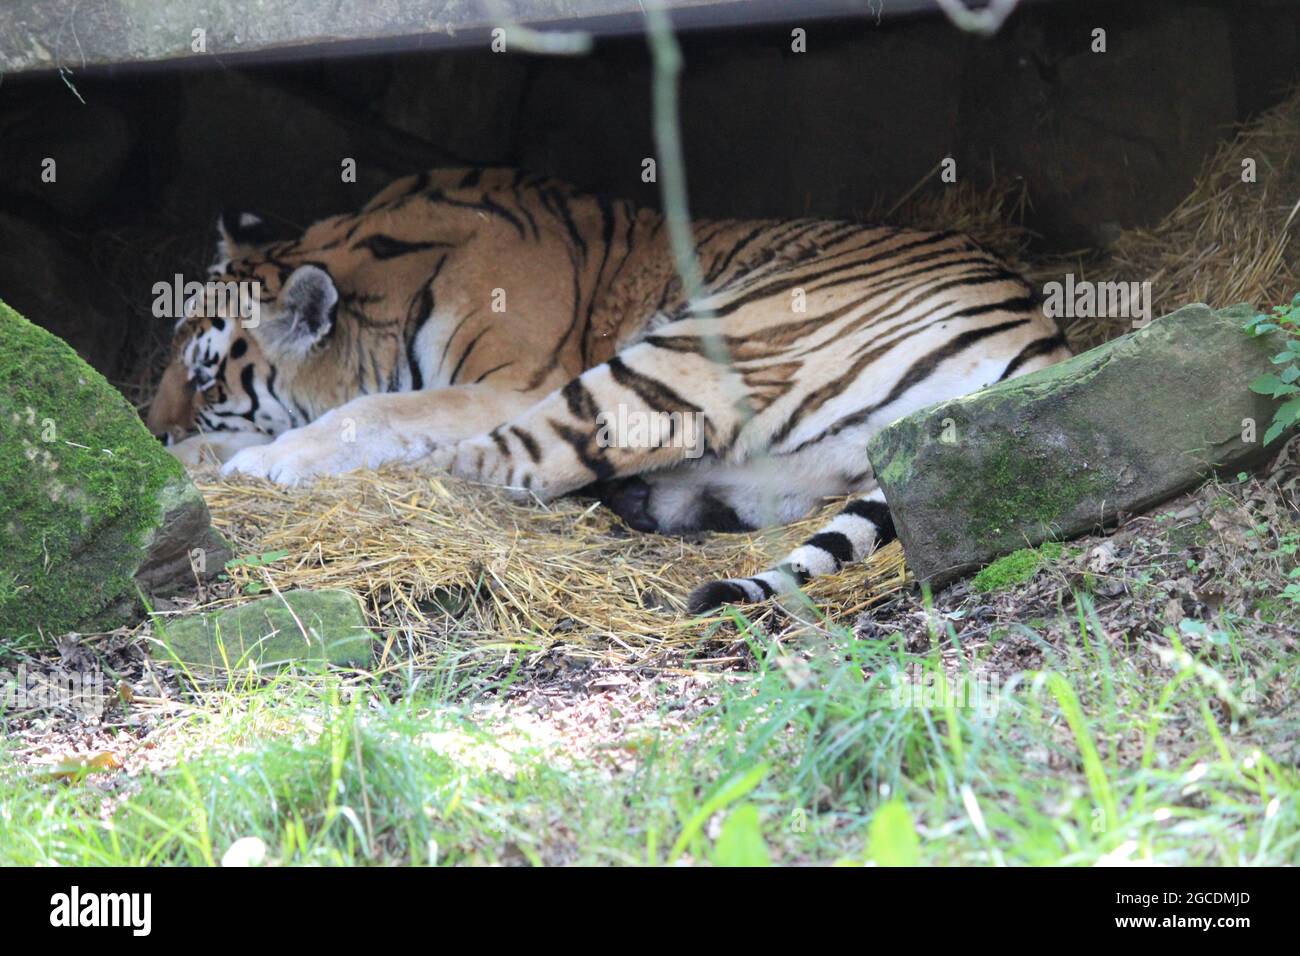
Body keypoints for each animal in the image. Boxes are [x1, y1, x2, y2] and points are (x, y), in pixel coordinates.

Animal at [147, 166, 1071, 613]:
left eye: (205, 373)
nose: (151, 429)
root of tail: (1042, 332)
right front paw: (195, 459)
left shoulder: (510, 380)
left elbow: (381, 412)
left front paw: (264, 461)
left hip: (692, 347)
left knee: (498, 467)